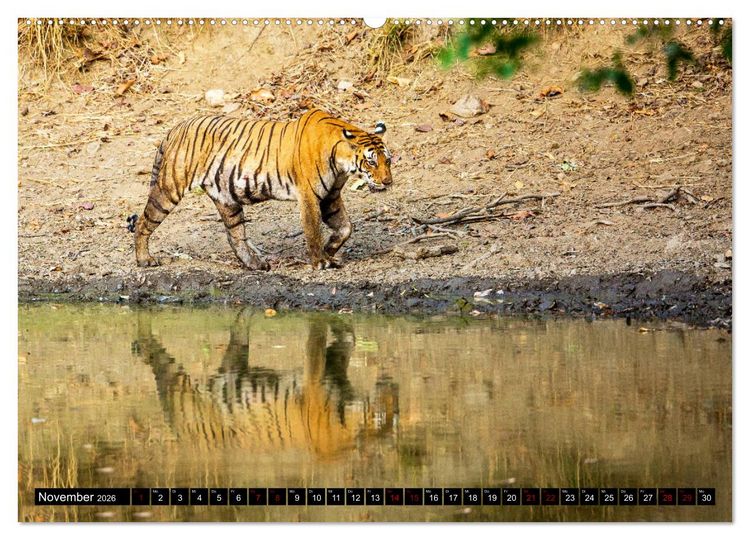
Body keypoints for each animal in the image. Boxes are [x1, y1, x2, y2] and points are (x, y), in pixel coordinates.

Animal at [131, 107, 393, 271]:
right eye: (371, 162)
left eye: (388, 161)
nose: (387, 182)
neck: (341, 163)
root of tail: (176, 127)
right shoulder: (309, 196)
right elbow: (313, 231)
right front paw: (321, 261)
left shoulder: (330, 195)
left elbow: (346, 227)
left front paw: (330, 250)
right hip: (169, 189)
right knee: (144, 222)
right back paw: (145, 260)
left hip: (227, 199)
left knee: (235, 236)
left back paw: (255, 264)